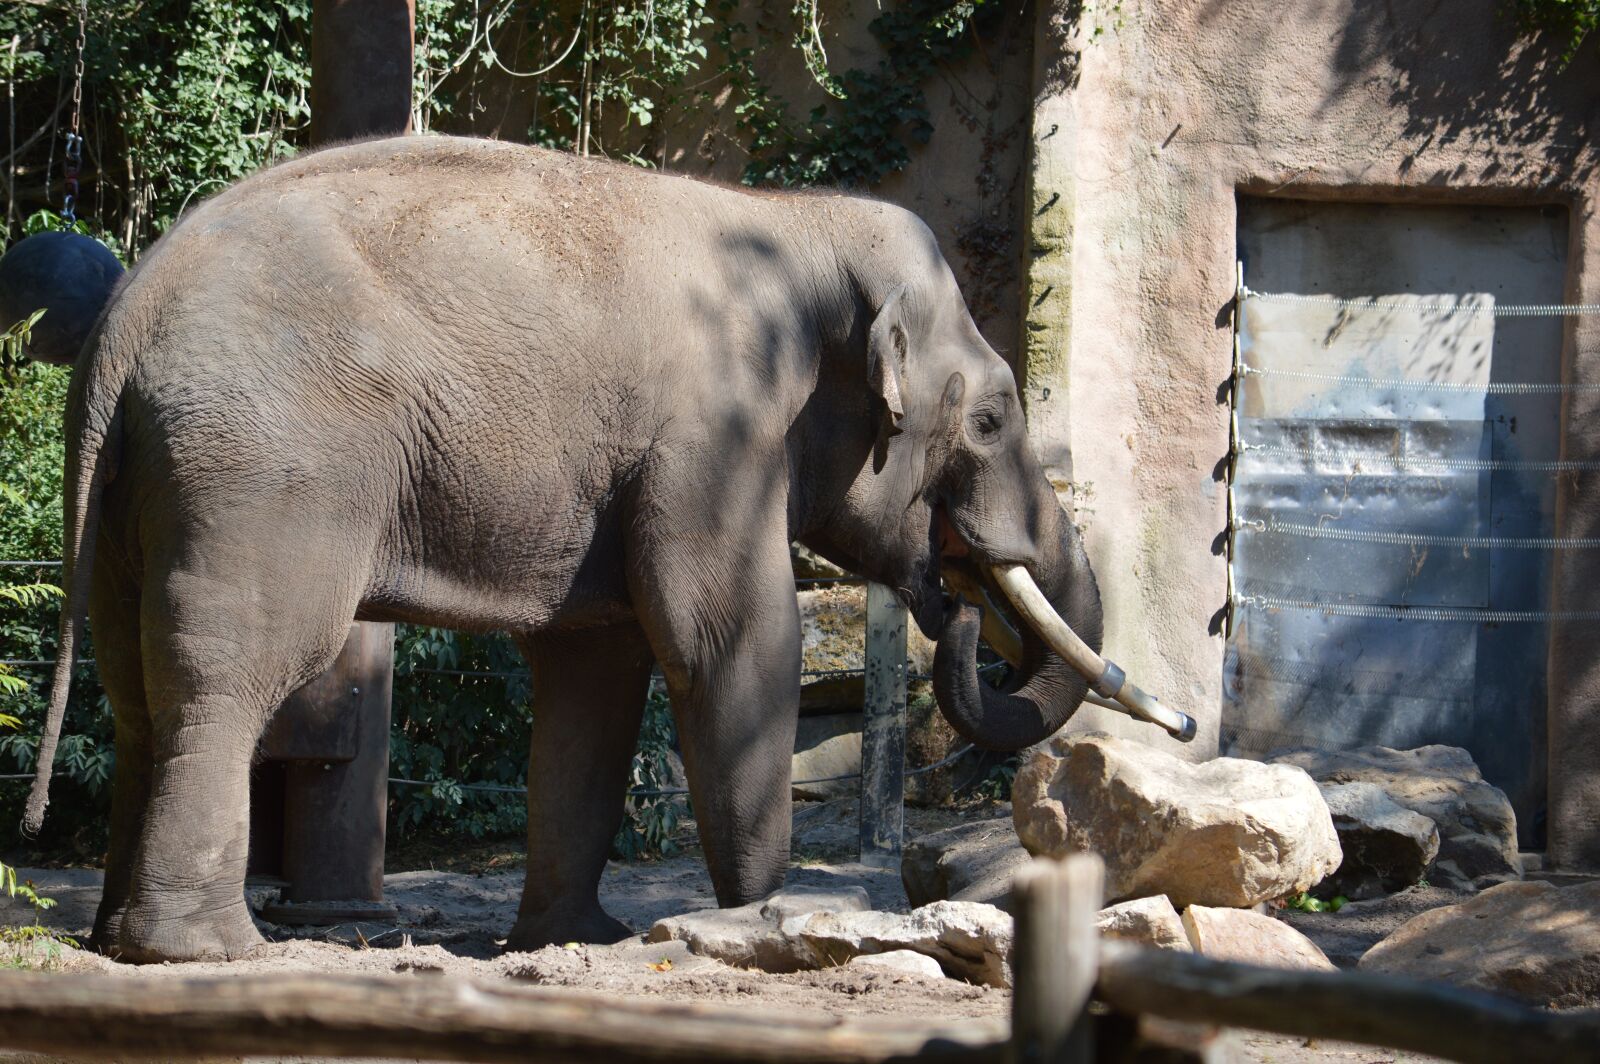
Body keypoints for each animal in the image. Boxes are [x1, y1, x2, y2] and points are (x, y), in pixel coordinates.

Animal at [25, 135, 1104, 963]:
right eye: (993, 421)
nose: (958, 601)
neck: (800, 225)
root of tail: (124, 324)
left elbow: (596, 672)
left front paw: (576, 939)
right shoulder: (713, 438)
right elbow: (733, 646)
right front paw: (762, 920)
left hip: (144, 486)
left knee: (133, 687)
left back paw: (119, 940)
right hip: (260, 468)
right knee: (233, 670)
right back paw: (206, 952)